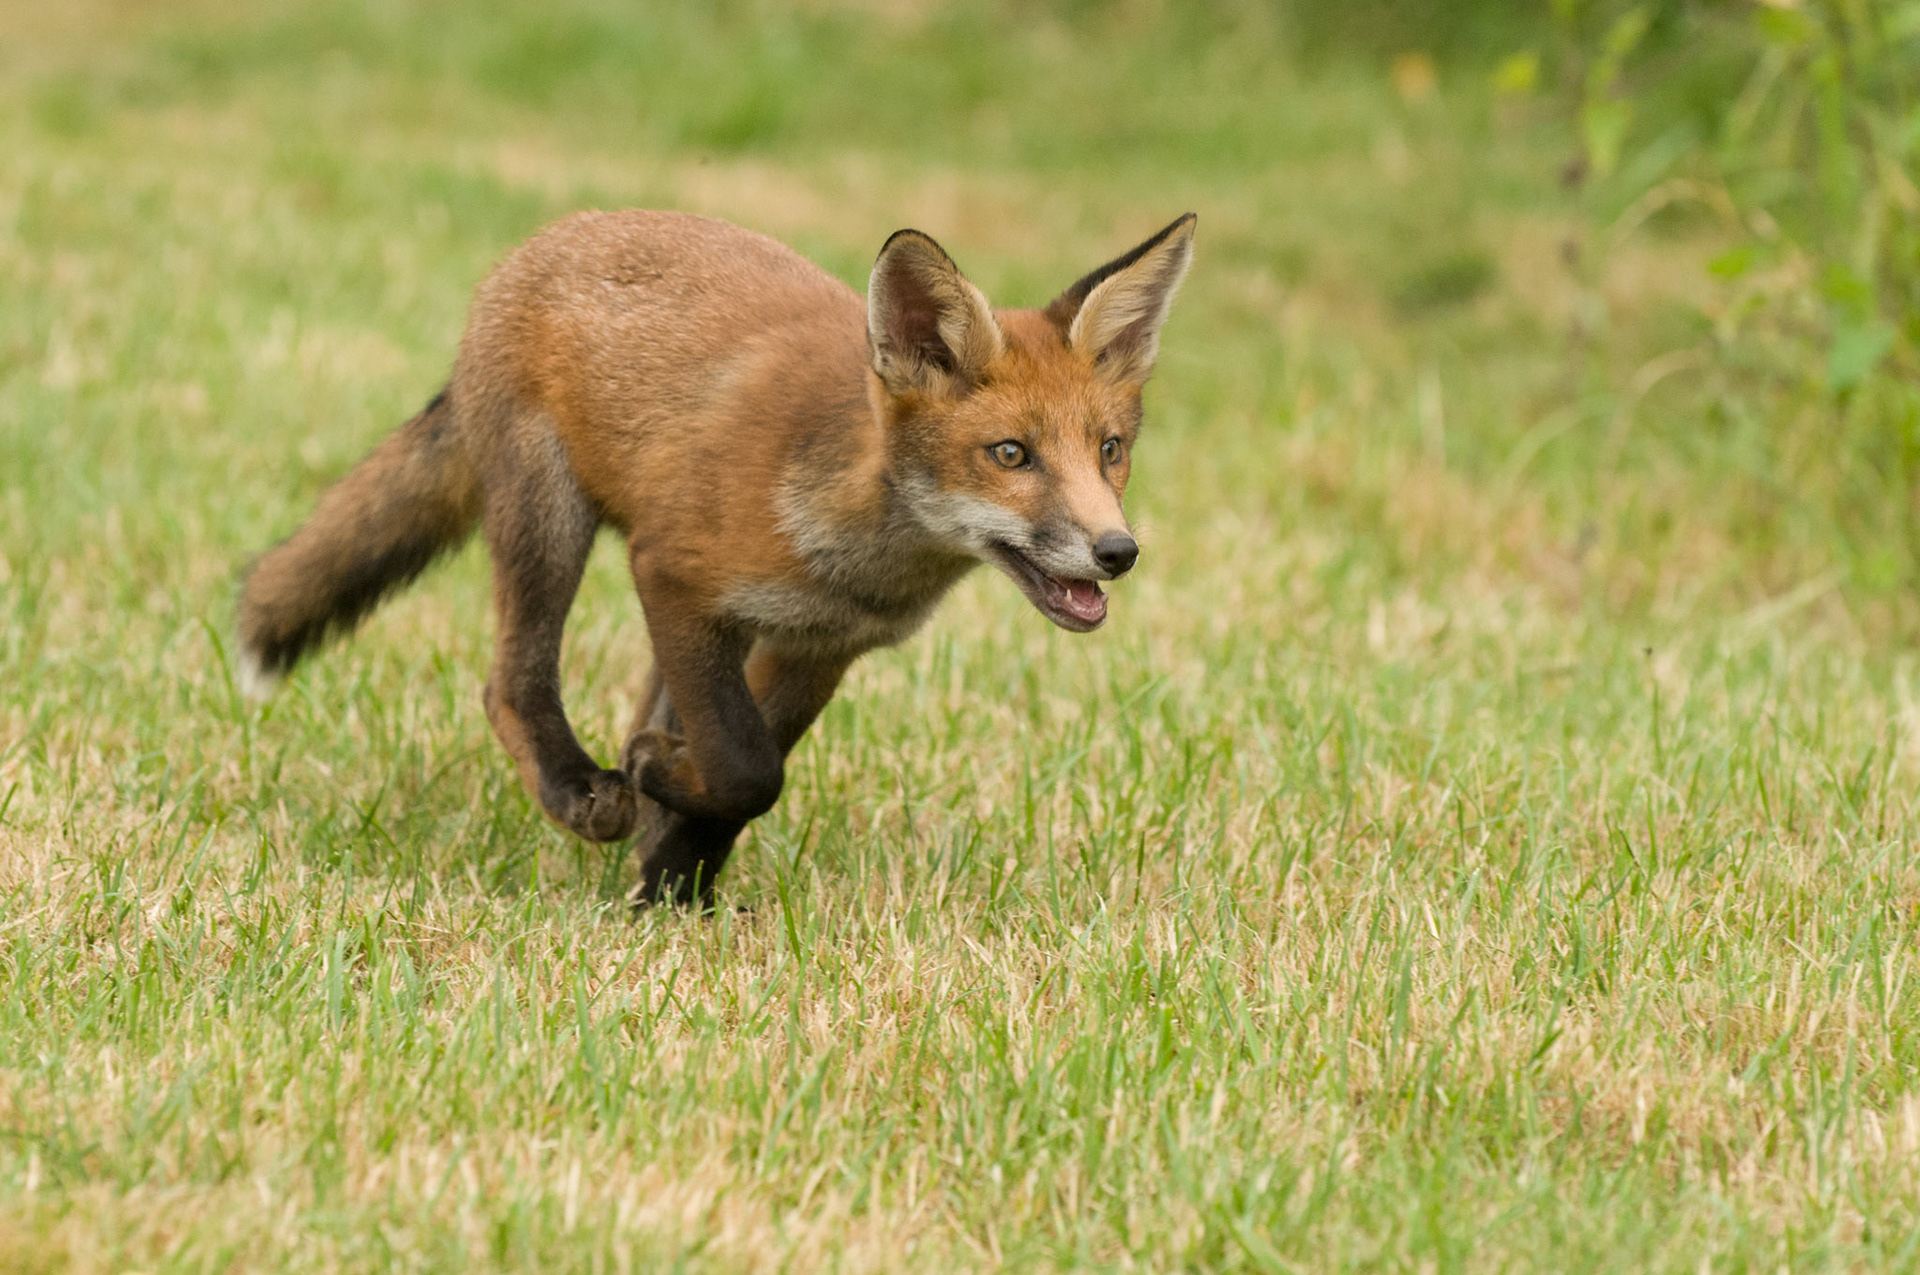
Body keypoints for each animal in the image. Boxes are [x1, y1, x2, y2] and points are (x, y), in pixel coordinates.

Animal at [237, 209, 1195, 906]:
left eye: (1109, 449)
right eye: (1010, 454)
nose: (1118, 550)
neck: (855, 555)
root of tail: (553, 235)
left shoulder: (820, 646)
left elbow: (748, 775)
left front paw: (672, 889)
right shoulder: (675, 576)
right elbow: (745, 765)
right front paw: (656, 787)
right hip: (551, 522)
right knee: (510, 681)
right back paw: (578, 786)